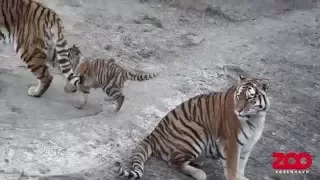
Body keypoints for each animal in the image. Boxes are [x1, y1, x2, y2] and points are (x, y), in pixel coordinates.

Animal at [115, 75, 270, 180]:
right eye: (238, 96)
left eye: (250, 98)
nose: (238, 110)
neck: (256, 118)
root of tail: (153, 134)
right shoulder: (231, 143)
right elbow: (233, 167)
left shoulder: (247, 144)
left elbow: (241, 165)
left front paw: (242, 176)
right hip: (196, 132)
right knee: (173, 162)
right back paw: (199, 173)